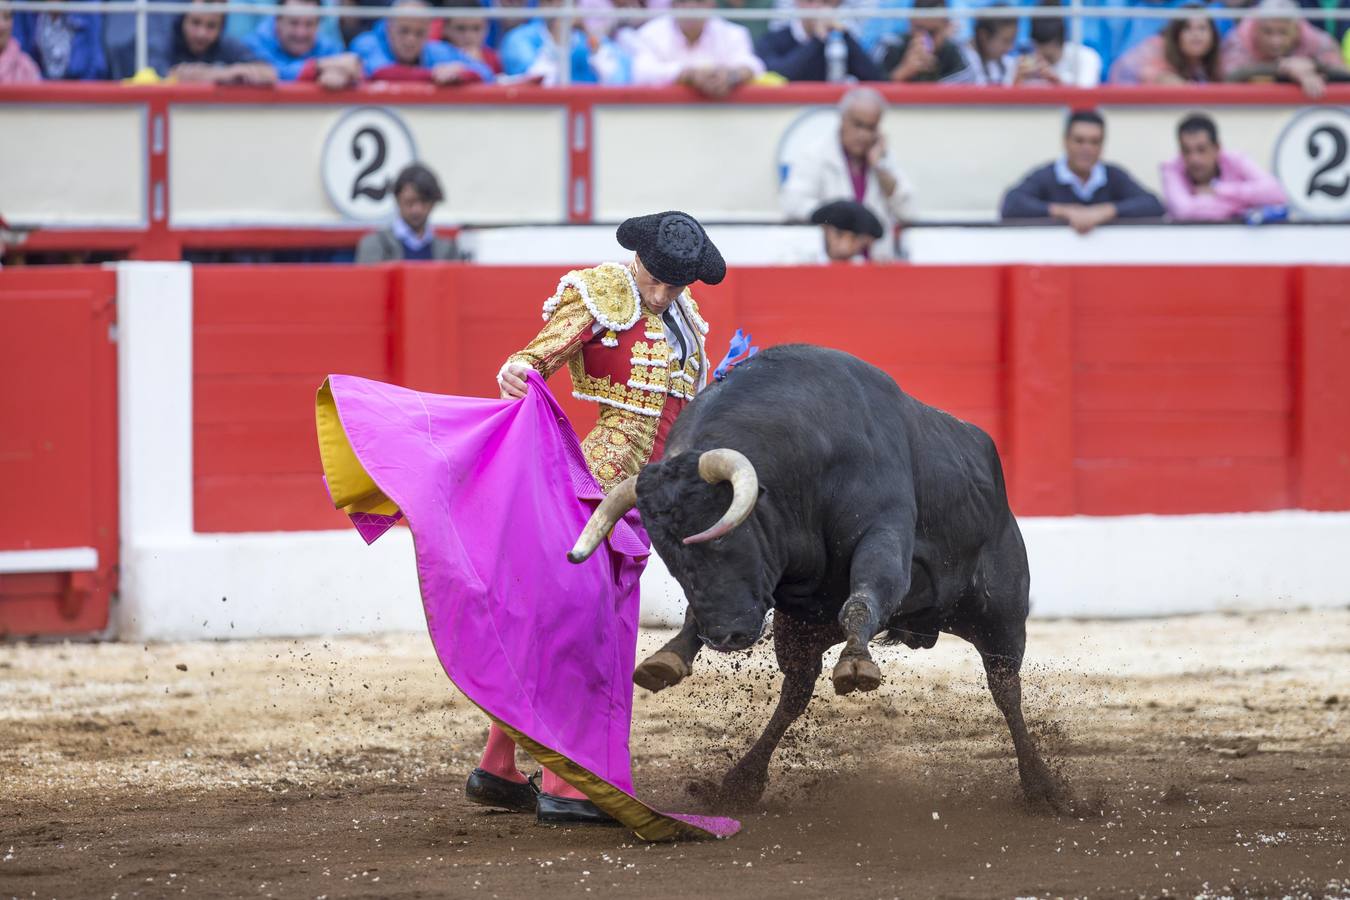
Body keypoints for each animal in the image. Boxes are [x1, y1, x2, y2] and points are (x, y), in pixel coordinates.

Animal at [567, 342, 1063, 809]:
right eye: (670, 557)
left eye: (723, 536)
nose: (725, 637)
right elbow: (698, 615)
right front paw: (668, 657)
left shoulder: (884, 534)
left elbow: (863, 597)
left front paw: (857, 664)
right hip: (802, 628)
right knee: (796, 692)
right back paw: (742, 781)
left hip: (1001, 614)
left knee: (1005, 688)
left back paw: (1044, 788)